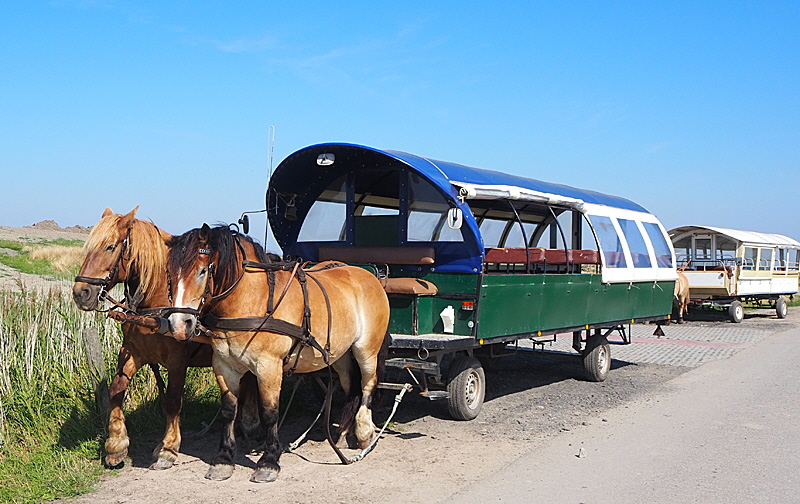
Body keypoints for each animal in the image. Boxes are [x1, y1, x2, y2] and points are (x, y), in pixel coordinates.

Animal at [72, 207, 260, 470]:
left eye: (110, 247)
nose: (81, 293)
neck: (156, 302)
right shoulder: (132, 352)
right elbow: (116, 390)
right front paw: (116, 444)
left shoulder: (177, 360)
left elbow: (172, 400)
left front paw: (168, 448)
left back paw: (250, 422)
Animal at [164, 224, 390, 484]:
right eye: (169, 273)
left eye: (202, 271)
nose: (179, 325)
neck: (255, 300)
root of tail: (368, 275)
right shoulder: (223, 365)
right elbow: (229, 411)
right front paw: (223, 459)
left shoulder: (268, 366)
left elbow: (270, 412)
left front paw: (269, 461)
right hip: (340, 354)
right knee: (350, 385)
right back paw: (343, 434)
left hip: (366, 349)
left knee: (367, 385)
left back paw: (364, 432)